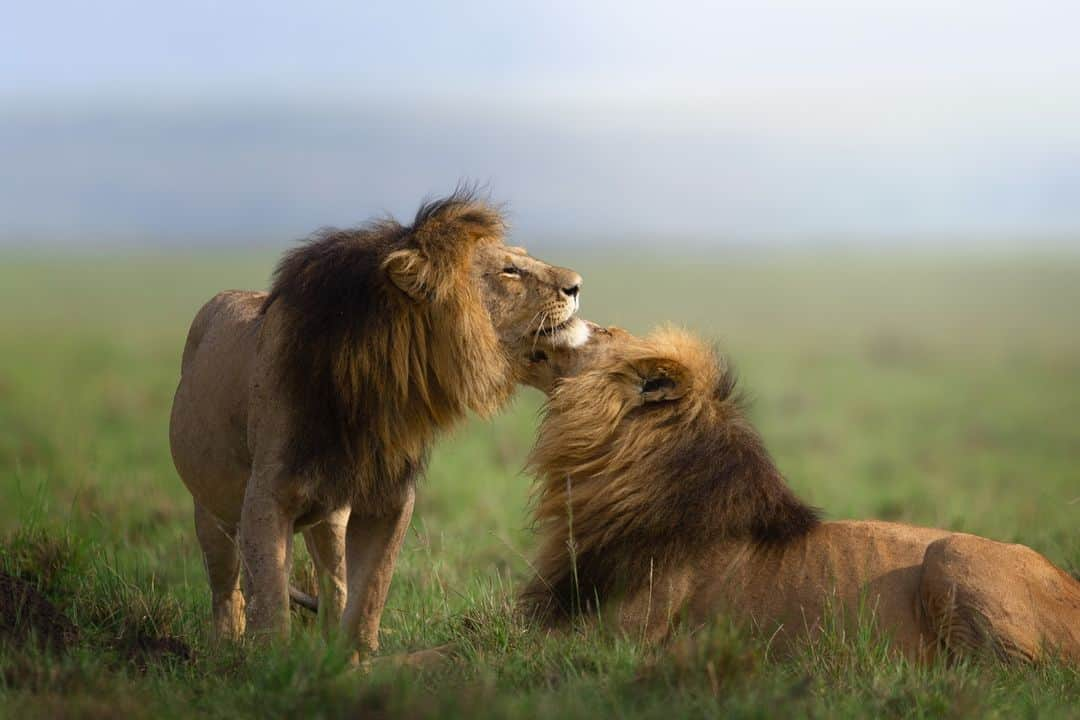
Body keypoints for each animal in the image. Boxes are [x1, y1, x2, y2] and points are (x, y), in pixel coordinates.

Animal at [168, 193, 591, 660]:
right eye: (509, 270)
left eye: (520, 257)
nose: (577, 285)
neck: (377, 389)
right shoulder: (265, 497)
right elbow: (272, 599)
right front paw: (272, 664)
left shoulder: (388, 496)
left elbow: (368, 593)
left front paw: (351, 664)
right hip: (210, 509)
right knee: (227, 588)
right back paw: (226, 647)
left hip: (329, 519)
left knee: (334, 584)